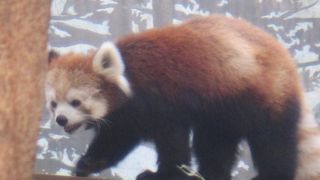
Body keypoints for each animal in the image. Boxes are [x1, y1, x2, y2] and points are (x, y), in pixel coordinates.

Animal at [45, 14, 312, 179]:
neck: (130, 75)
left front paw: (163, 174)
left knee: (273, 141)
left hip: (264, 96)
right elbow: (116, 139)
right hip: (220, 113)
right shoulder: (127, 116)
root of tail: (284, 55)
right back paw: (210, 174)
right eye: (54, 104)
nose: (61, 120)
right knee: (214, 144)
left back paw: (272, 174)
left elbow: (172, 140)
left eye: (76, 102)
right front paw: (89, 163)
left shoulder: (163, 99)